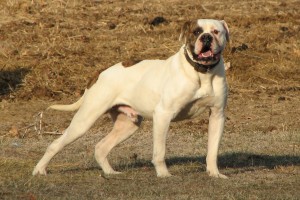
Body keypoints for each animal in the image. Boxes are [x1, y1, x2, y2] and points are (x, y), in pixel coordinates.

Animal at [32, 18, 229, 178]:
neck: (202, 72)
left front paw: (214, 173)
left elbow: (212, 151)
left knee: (101, 147)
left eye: (215, 31)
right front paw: (163, 174)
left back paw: (110, 172)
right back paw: (40, 170)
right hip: (84, 120)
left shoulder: (217, 115)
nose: (206, 38)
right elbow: (159, 152)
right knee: (56, 143)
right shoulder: (163, 115)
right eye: (196, 32)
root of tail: (100, 73)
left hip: (127, 125)